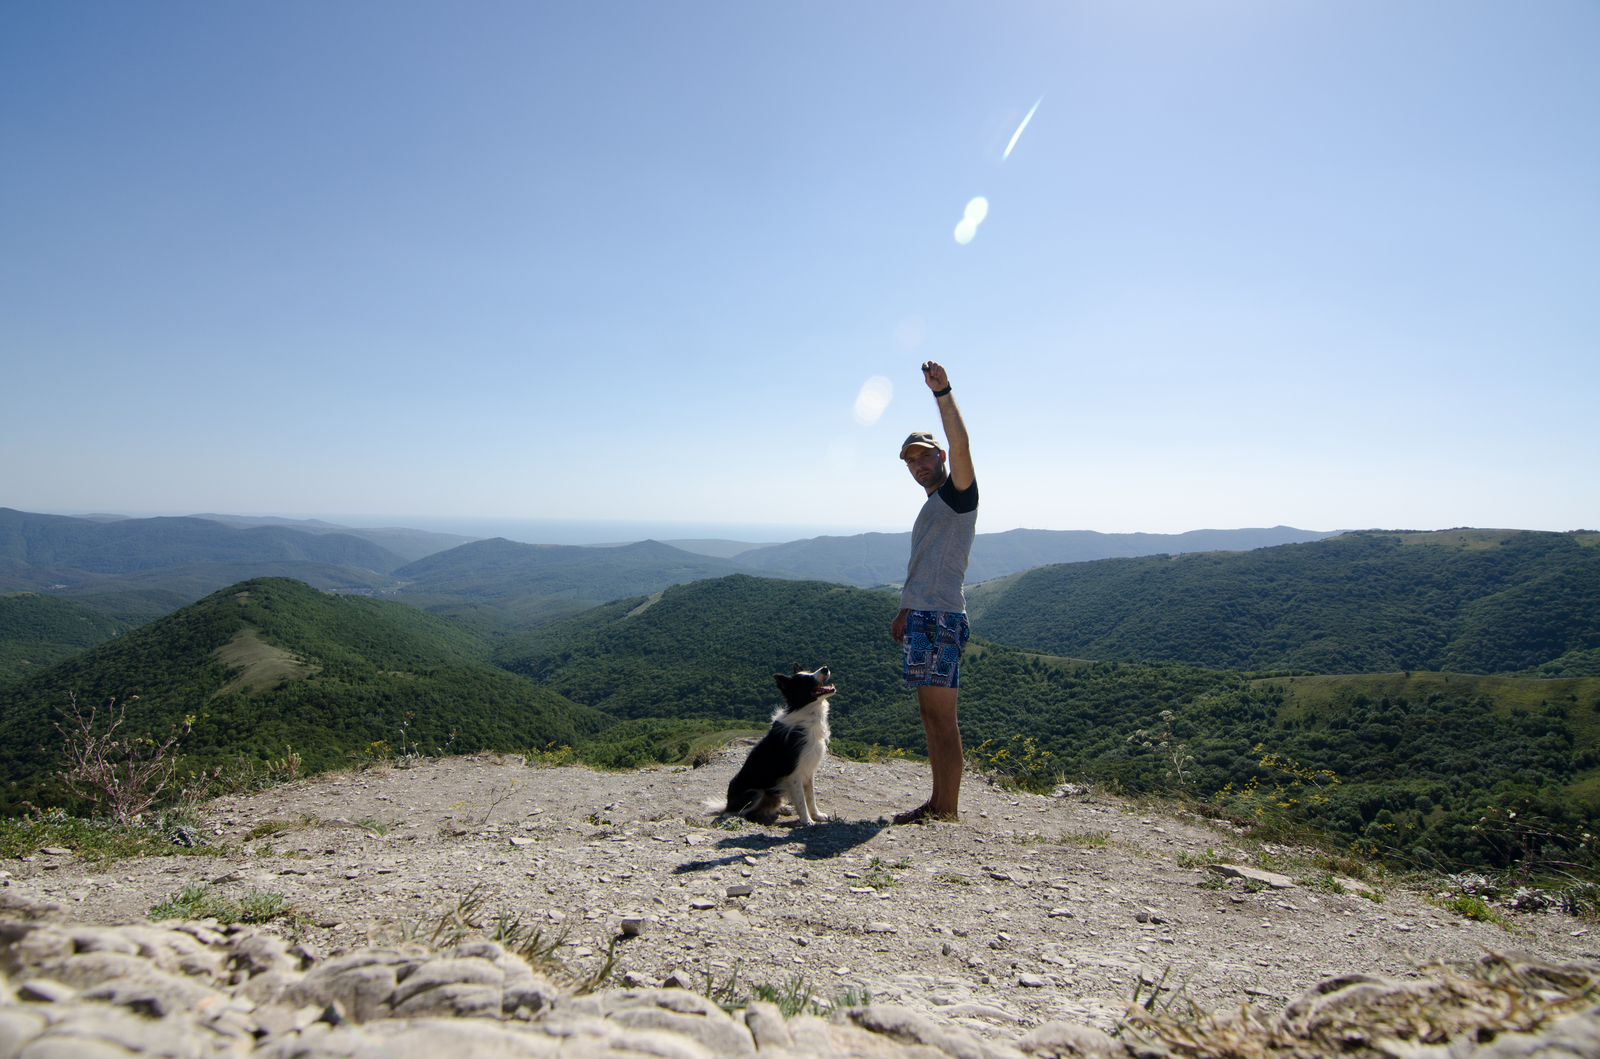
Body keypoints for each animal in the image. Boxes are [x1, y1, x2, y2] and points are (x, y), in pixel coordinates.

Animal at [720, 665, 832, 831]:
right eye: (806, 680)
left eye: (811, 672)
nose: (825, 668)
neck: (807, 713)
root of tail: (727, 804)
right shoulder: (793, 772)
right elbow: (801, 800)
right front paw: (807, 821)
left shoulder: (808, 770)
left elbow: (811, 797)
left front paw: (816, 815)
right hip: (754, 793)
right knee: (736, 813)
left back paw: (782, 808)